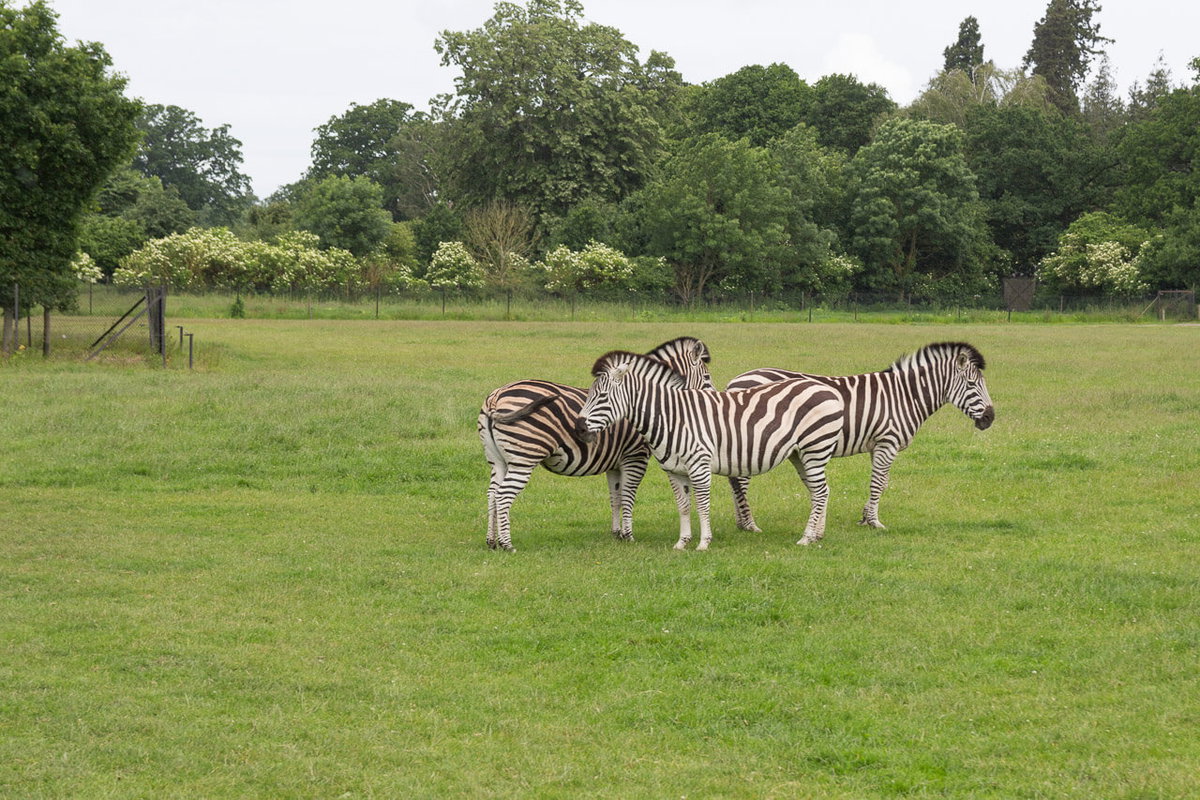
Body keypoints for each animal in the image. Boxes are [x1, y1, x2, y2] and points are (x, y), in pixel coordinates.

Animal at [478, 337, 713, 551]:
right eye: (707, 377)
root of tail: (496, 396)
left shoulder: (615, 463)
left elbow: (616, 497)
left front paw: (617, 533)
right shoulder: (635, 457)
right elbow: (628, 496)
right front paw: (629, 536)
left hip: (498, 460)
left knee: (492, 494)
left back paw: (491, 541)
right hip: (524, 458)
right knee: (503, 495)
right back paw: (507, 544)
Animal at [575, 351, 844, 550]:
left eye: (602, 396)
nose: (579, 427)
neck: (672, 417)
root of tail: (827, 389)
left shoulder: (699, 465)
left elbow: (703, 504)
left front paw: (704, 542)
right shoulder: (674, 471)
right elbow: (683, 506)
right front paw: (682, 542)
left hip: (815, 449)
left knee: (820, 491)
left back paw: (806, 538)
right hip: (800, 454)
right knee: (821, 491)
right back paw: (816, 535)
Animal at [725, 341, 995, 533]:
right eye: (972, 384)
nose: (990, 418)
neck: (905, 396)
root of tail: (735, 381)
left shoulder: (878, 445)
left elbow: (882, 483)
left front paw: (865, 517)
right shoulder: (888, 441)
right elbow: (877, 482)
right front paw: (874, 522)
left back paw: (741, 522)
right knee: (740, 480)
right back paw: (749, 524)